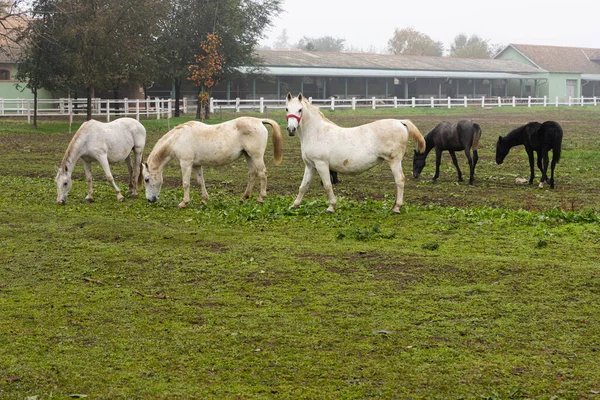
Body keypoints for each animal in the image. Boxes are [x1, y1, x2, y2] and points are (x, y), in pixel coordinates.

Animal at [144, 117, 284, 208]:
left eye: (146, 179)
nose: (150, 200)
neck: (178, 138)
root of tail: (259, 121)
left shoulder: (186, 164)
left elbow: (186, 184)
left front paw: (184, 202)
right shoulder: (196, 165)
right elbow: (201, 181)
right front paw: (204, 200)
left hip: (256, 156)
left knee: (262, 174)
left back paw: (260, 198)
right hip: (248, 156)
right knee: (252, 174)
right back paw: (244, 198)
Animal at [286, 92, 426, 214]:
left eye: (300, 110)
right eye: (287, 109)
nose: (291, 129)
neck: (317, 133)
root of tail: (400, 122)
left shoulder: (321, 164)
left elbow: (327, 185)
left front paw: (331, 207)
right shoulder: (310, 166)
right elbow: (303, 186)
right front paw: (294, 205)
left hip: (395, 161)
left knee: (400, 180)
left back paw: (396, 208)